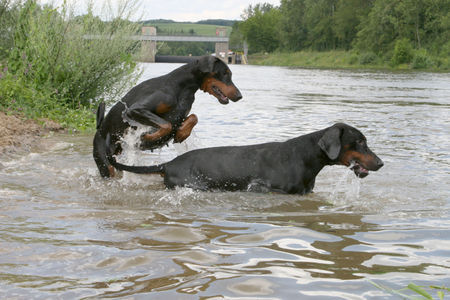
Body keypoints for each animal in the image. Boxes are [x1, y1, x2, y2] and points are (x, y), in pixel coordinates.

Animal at [93, 55, 243, 177]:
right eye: (225, 73)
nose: (239, 96)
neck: (183, 87)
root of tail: (99, 130)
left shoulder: (181, 115)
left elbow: (193, 117)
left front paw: (182, 133)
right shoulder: (134, 110)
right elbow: (166, 124)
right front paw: (147, 137)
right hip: (104, 162)